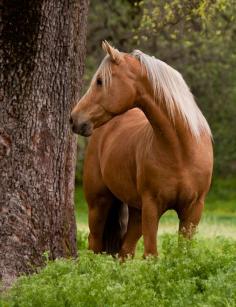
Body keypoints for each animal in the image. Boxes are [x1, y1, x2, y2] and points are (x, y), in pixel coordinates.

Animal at [70, 40, 214, 258]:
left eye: (100, 81)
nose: (74, 119)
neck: (181, 151)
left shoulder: (193, 210)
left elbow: (183, 255)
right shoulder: (151, 207)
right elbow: (151, 255)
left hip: (135, 211)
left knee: (125, 251)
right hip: (99, 203)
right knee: (94, 243)